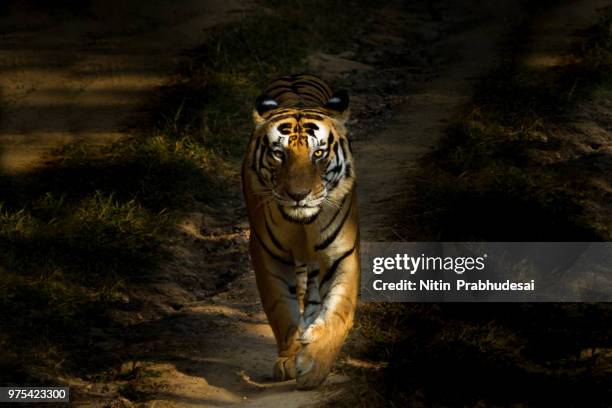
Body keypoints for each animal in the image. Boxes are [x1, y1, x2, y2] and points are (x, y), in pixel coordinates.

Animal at [243, 73, 360, 388]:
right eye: (279, 154)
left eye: (318, 153)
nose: (298, 195)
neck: (303, 223)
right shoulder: (267, 254)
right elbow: (281, 309)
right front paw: (289, 358)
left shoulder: (341, 254)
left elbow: (337, 312)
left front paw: (315, 365)